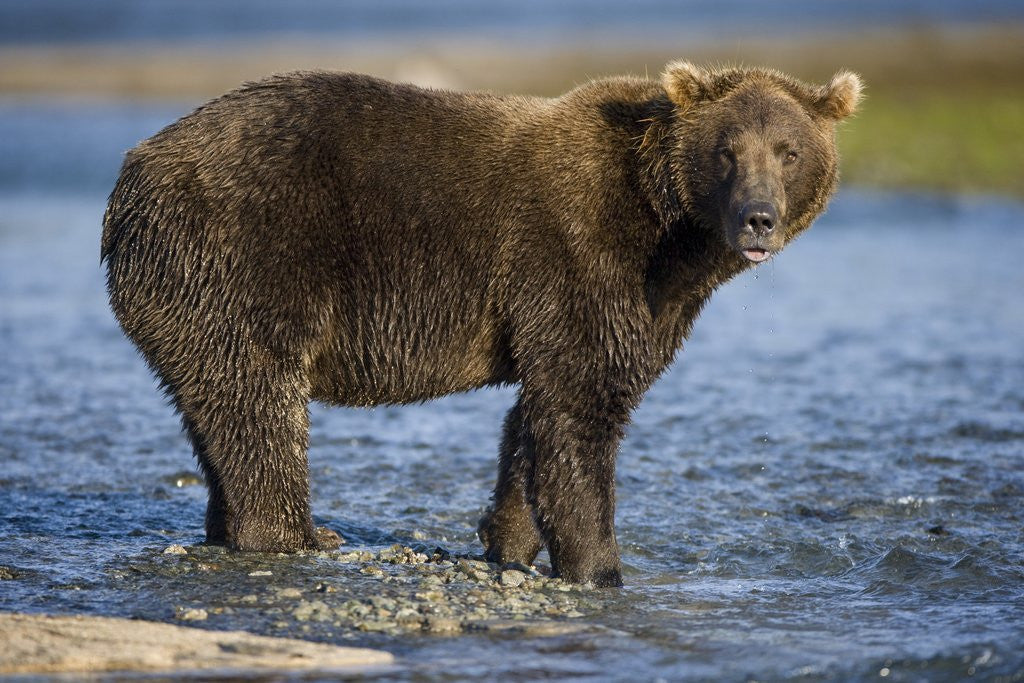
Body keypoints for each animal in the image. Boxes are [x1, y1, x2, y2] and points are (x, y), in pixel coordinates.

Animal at [102, 62, 861, 586]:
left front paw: (509, 539)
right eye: (728, 150)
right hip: (244, 253)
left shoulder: (640, 301)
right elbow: (581, 409)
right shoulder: (581, 255)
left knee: (213, 405)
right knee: (259, 400)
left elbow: (536, 418)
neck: (671, 232)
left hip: (188, 292)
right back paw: (298, 533)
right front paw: (600, 565)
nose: (758, 217)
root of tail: (132, 175)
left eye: (789, 150)